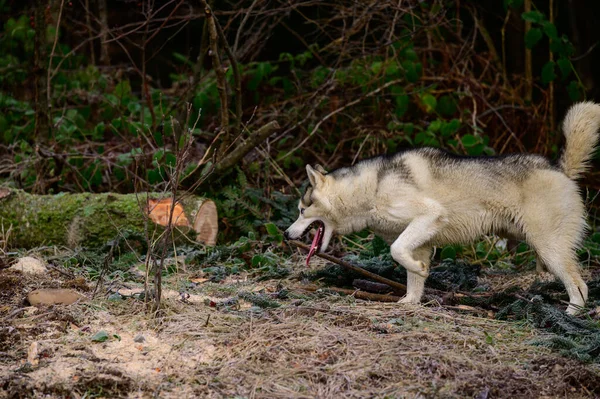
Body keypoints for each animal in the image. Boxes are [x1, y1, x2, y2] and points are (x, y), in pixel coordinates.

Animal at [284, 101, 600, 314]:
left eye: (301, 210)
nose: (286, 235)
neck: (370, 188)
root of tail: (559, 168)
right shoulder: (421, 242)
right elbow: (412, 276)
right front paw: (410, 301)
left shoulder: (430, 215)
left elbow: (396, 251)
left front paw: (419, 271)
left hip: (549, 248)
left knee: (581, 286)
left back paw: (570, 316)